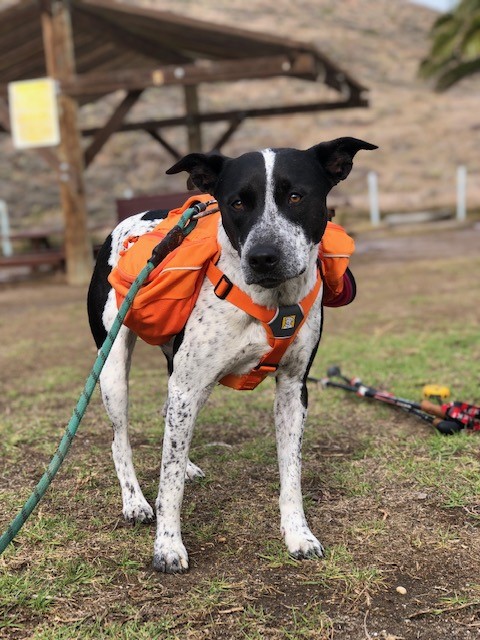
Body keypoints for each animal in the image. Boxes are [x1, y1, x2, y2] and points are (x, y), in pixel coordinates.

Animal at [88, 136, 376, 576]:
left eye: (296, 196)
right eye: (237, 203)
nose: (263, 256)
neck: (272, 299)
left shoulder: (292, 388)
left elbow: (291, 471)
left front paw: (298, 534)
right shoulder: (187, 387)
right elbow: (168, 485)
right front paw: (167, 546)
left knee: (168, 427)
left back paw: (186, 465)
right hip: (114, 371)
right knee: (120, 440)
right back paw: (135, 501)